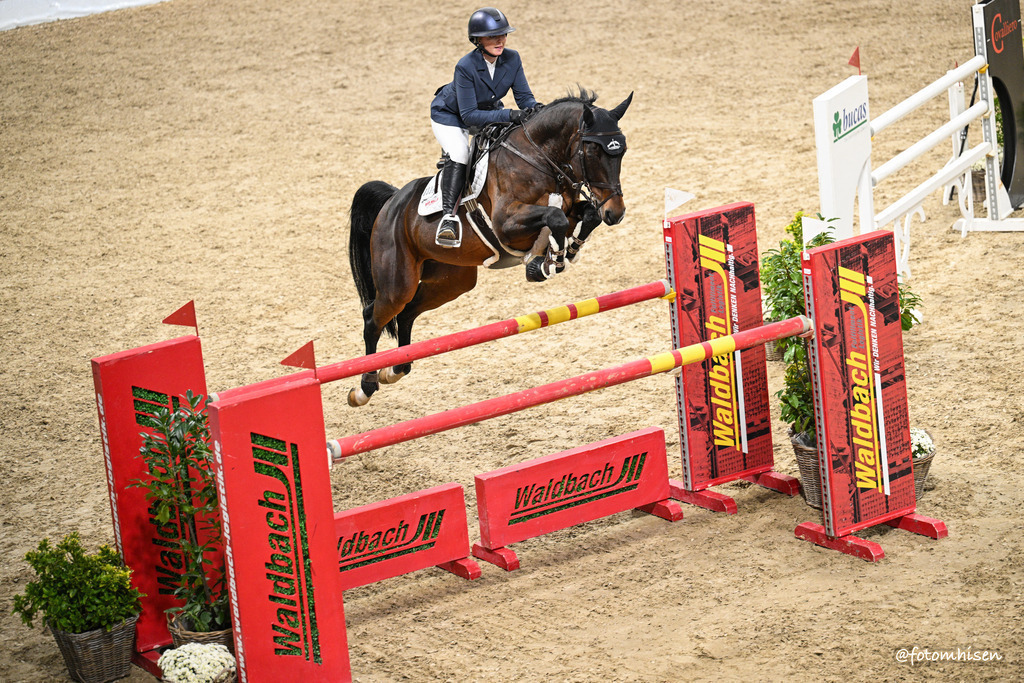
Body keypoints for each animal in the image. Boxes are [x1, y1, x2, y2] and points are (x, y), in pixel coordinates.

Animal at [346, 88, 633, 407]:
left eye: (622, 151)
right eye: (593, 151)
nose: (616, 213)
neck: (539, 158)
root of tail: (392, 202)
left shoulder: (569, 211)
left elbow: (584, 216)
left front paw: (559, 257)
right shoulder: (506, 224)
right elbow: (554, 217)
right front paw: (545, 263)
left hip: (451, 281)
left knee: (407, 313)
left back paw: (395, 370)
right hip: (398, 282)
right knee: (374, 317)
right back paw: (364, 387)